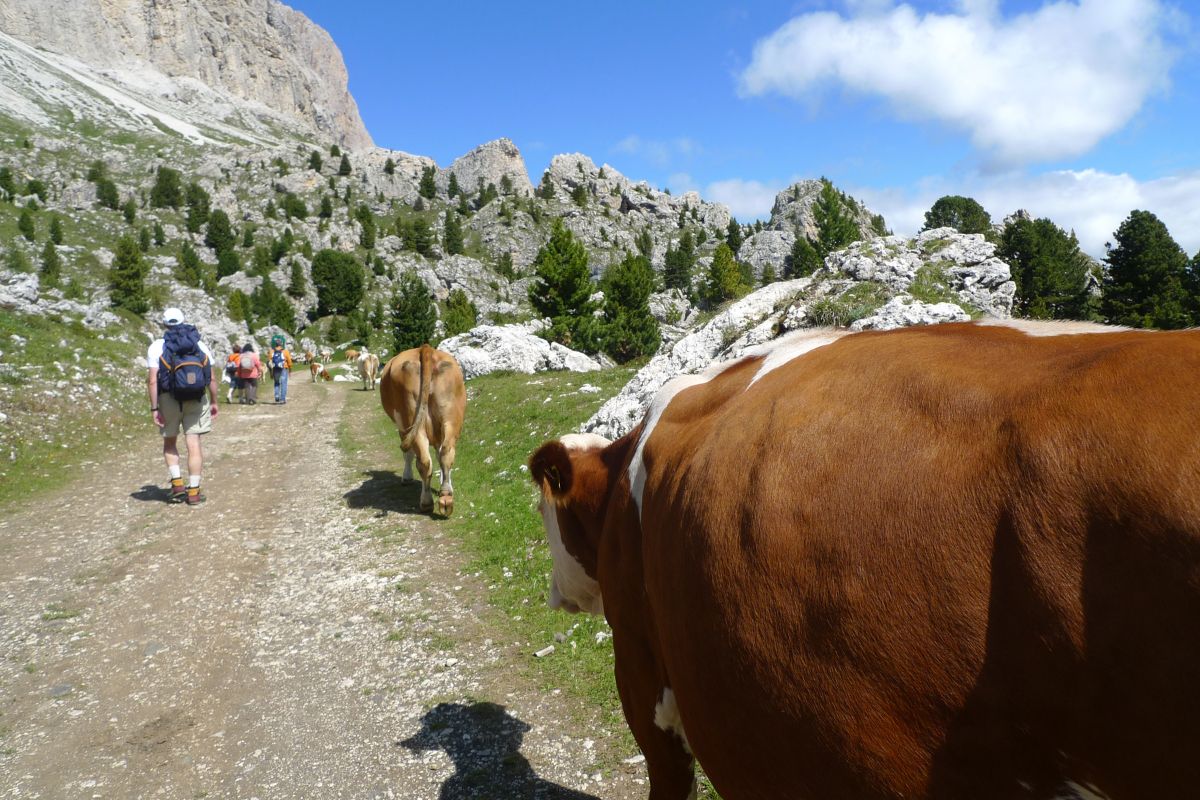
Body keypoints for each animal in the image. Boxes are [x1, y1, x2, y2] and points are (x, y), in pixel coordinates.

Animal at [380, 344, 466, 516]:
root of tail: (425, 348)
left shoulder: (403, 430)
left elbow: (408, 454)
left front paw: (406, 478)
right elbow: (439, 454)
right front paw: (446, 483)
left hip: (411, 420)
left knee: (424, 461)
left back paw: (426, 503)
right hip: (450, 418)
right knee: (446, 452)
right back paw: (446, 497)